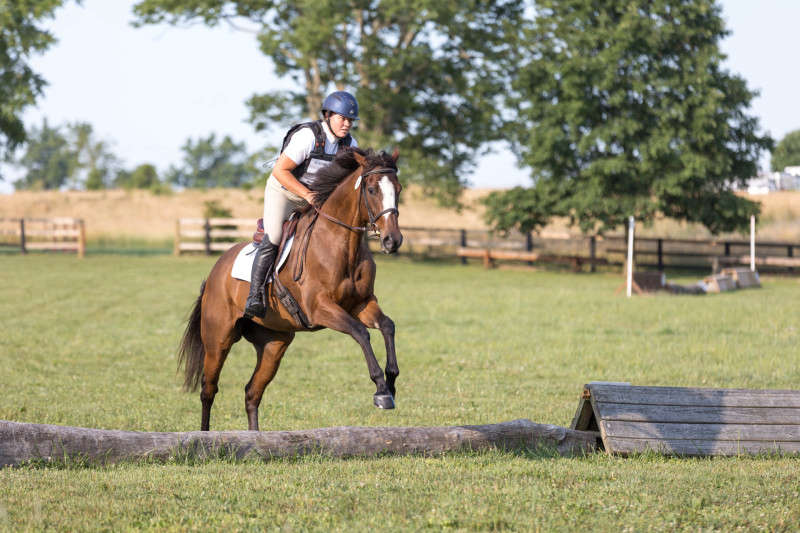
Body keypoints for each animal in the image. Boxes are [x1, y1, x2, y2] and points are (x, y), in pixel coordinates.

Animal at [178, 148, 404, 430]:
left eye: (399, 189)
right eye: (372, 189)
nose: (393, 240)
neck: (342, 244)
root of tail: (213, 274)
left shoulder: (362, 303)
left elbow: (387, 326)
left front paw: (391, 383)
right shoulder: (320, 308)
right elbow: (361, 332)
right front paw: (381, 390)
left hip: (274, 343)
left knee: (252, 392)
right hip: (218, 339)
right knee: (208, 389)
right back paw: (204, 434)